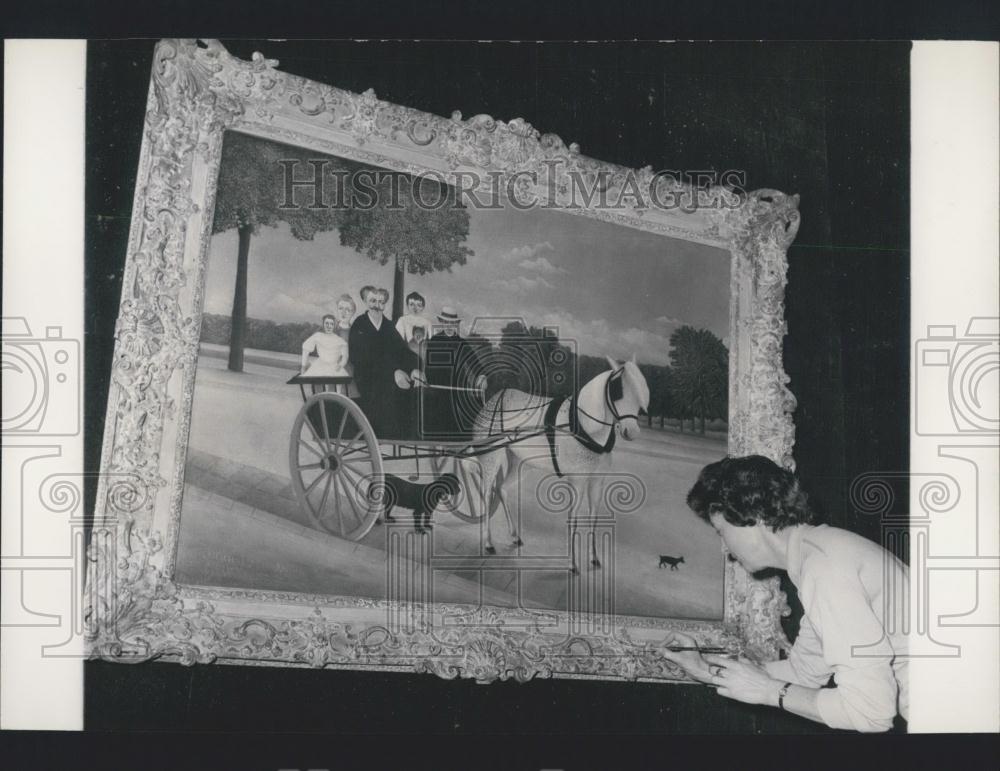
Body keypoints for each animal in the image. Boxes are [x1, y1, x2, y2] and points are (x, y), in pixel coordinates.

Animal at [468, 358, 648, 572]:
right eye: (617, 390)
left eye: (640, 392)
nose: (632, 431)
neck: (584, 425)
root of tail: (493, 398)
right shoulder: (577, 480)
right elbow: (574, 520)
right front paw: (572, 563)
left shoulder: (597, 480)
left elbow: (593, 518)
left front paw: (594, 557)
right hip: (490, 458)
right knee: (487, 494)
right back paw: (488, 542)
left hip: (520, 462)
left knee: (501, 489)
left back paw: (514, 536)